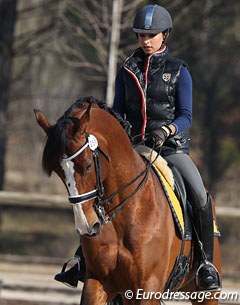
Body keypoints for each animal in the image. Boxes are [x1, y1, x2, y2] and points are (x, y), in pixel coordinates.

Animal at [33, 96, 221, 302]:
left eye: (88, 165)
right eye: (58, 171)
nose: (86, 226)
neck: (127, 211)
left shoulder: (149, 287)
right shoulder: (97, 282)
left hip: (205, 293)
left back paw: (208, 274)